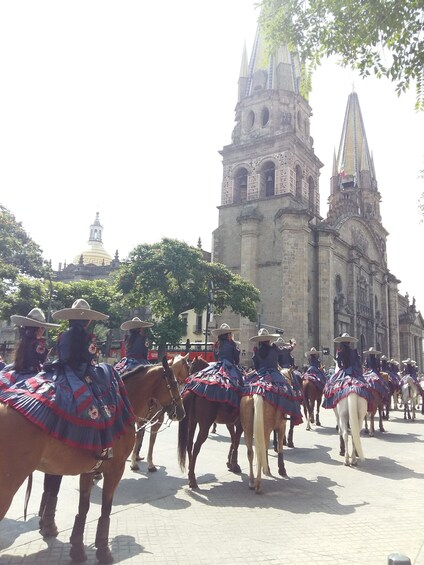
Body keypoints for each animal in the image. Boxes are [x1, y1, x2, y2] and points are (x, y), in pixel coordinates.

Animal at [0, 356, 185, 564]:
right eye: (175, 383)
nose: (182, 411)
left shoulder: (88, 471)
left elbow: (83, 508)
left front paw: (77, 549)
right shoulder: (115, 470)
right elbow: (106, 508)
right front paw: (103, 551)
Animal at [176, 356, 242, 490]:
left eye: (192, 367)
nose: (187, 379)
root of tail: (193, 390)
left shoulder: (230, 423)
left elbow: (233, 441)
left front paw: (230, 462)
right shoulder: (240, 424)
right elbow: (236, 442)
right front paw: (235, 464)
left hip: (192, 421)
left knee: (189, 443)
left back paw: (191, 471)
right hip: (205, 425)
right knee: (196, 446)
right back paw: (192, 479)